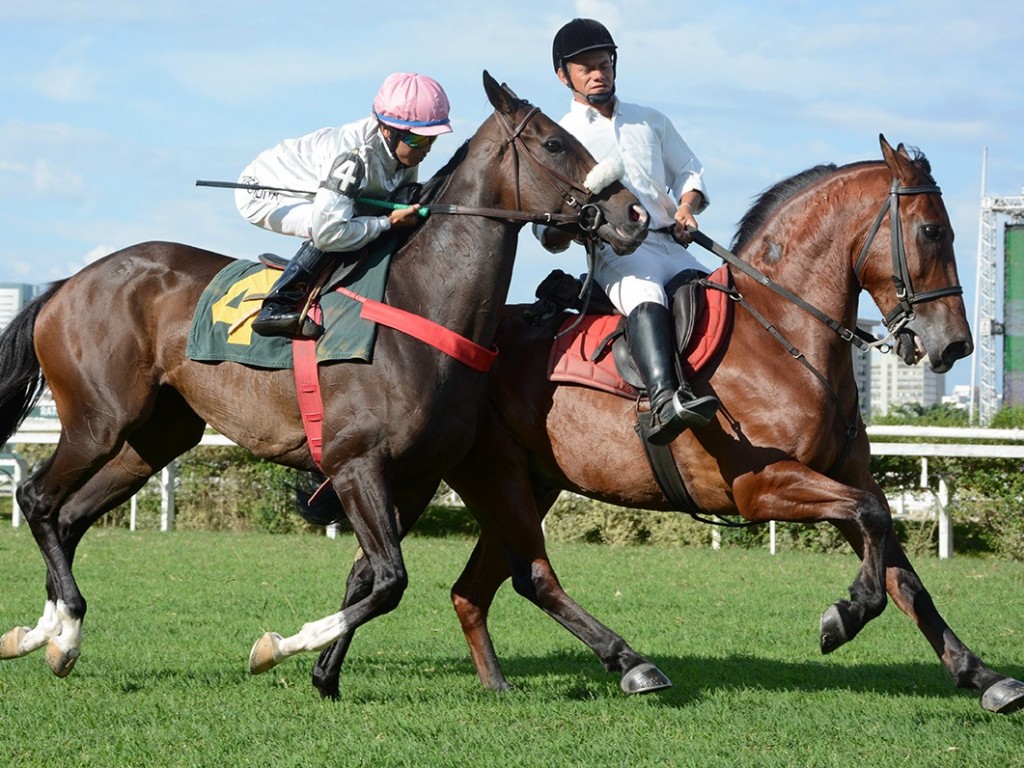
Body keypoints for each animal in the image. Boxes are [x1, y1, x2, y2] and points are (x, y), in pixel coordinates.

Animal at [0, 72, 647, 696]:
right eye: (556, 143)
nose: (634, 216)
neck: (421, 302)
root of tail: (66, 284)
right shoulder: (355, 461)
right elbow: (389, 580)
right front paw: (278, 648)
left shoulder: (415, 473)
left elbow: (367, 576)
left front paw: (323, 677)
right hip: (98, 420)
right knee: (36, 498)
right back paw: (62, 628)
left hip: (155, 436)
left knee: (70, 515)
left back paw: (45, 636)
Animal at [313, 137, 1024, 716]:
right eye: (931, 231)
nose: (956, 345)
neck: (785, 335)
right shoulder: (764, 486)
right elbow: (875, 531)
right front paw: (842, 617)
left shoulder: (845, 481)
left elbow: (904, 574)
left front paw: (982, 676)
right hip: (479, 478)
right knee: (487, 573)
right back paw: (629, 666)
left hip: (521, 486)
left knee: (460, 586)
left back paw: (456, 680)